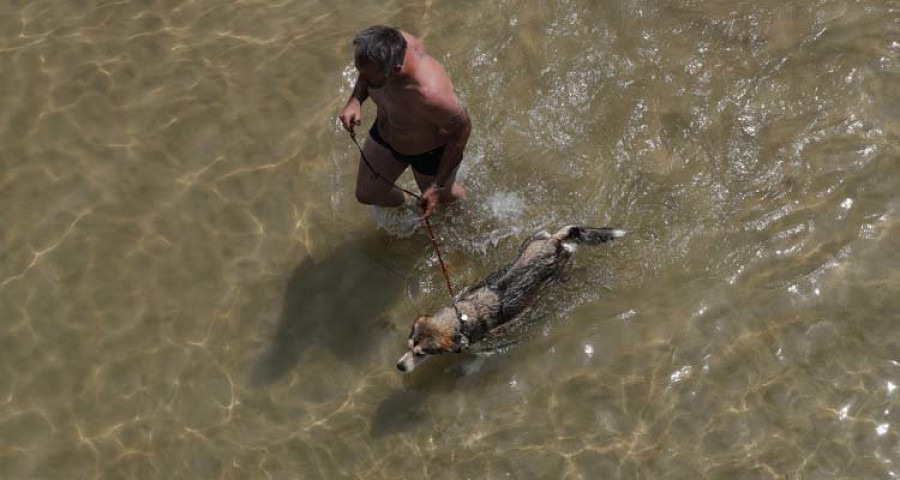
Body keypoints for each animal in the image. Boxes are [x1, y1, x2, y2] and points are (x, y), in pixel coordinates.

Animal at [398, 227, 624, 374]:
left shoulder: (486, 343)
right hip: (533, 239)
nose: (399, 366)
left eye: (421, 353)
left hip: (561, 270)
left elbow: (479, 359)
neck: (461, 317)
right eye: (408, 346)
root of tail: (552, 242)